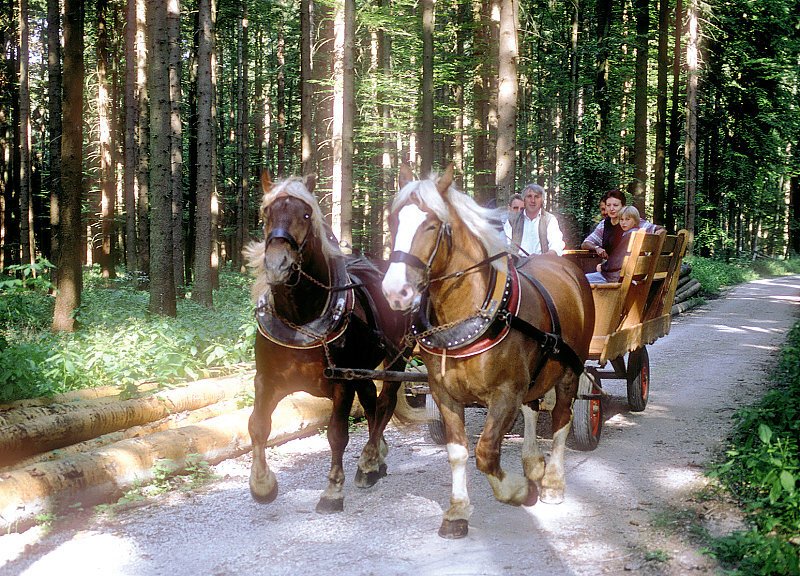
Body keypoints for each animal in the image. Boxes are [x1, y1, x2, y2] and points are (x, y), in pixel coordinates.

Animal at [242, 171, 412, 512]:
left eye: (306, 214)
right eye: (266, 213)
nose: (278, 264)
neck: (301, 322)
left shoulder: (341, 383)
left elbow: (337, 434)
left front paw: (333, 491)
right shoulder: (266, 379)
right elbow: (258, 425)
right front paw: (262, 484)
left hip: (397, 358)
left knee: (384, 403)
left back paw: (368, 462)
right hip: (362, 369)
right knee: (371, 404)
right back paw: (377, 459)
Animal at [382, 165, 592, 540]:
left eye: (432, 225)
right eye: (394, 220)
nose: (395, 291)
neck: (470, 314)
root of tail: (569, 269)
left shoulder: (504, 392)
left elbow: (486, 451)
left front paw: (519, 491)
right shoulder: (444, 393)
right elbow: (458, 452)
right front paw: (457, 511)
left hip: (570, 370)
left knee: (561, 418)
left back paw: (552, 482)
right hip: (536, 374)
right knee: (532, 408)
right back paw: (532, 464)